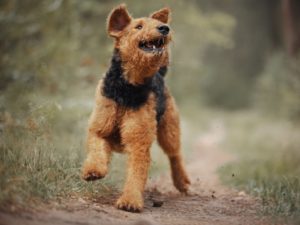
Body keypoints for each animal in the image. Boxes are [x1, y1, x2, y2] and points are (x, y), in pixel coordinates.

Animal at [82, 3, 190, 213]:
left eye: (157, 23)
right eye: (138, 26)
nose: (164, 28)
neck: (128, 87)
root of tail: (160, 74)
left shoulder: (138, 140)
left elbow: (136, 173)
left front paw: (130, 201)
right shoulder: (100, 128)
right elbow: (96, 150)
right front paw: (93, 171)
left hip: (169, 129)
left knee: (175, 155)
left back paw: (182, 182)